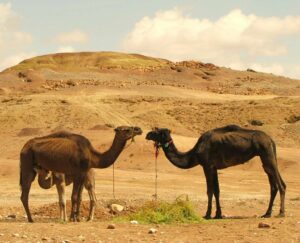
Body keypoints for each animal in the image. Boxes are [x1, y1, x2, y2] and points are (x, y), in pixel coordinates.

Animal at [146, 125, 288, 218]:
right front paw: (218, 214)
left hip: (266, 153)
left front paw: (207, 214)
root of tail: (270, 139)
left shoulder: (207, 166)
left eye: (157, 131)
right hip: (267, 156)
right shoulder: (214, 168)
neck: (195, 153)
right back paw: (267, 213)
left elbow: (209, 191)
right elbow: (217, 191)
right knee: (274, 185)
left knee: (280, 185)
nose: (147, 134)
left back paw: (281, 213)